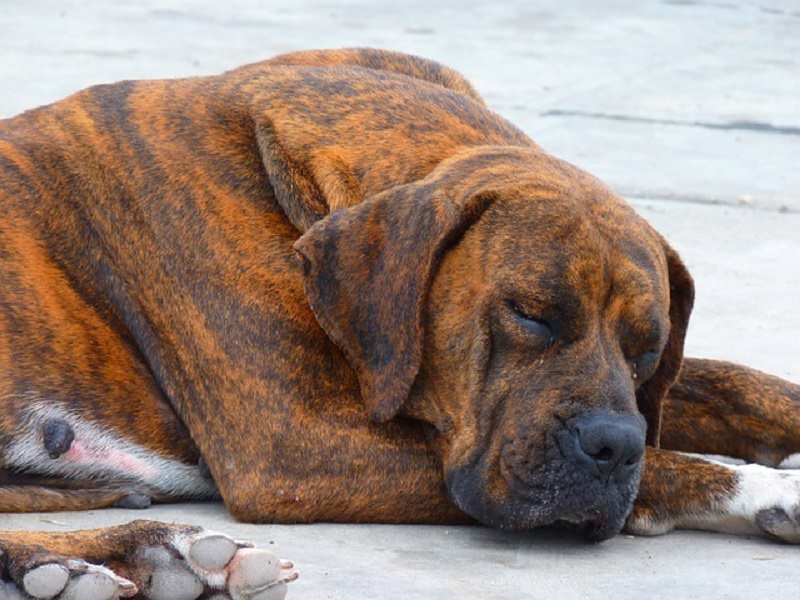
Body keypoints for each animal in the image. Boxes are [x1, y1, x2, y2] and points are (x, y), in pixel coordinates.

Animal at [1, 48, 800, 600]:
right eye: (529, 315)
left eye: (648, 349)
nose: (615, 443)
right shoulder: (299, 446)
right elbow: (676, 463)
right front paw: (768, 489)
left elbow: (733, 383)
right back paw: (118, 554)